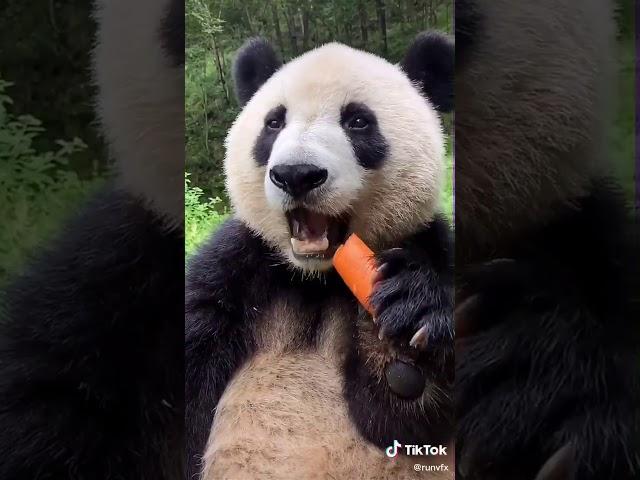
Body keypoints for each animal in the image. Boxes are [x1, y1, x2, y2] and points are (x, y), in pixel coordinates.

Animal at [184, 34, 456, 480]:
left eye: (358, 121)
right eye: (274, 122)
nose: (297, 174)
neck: (317, 278)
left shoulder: (426, 239)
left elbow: (405, 411)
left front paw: (413, 314)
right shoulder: (236, 268)